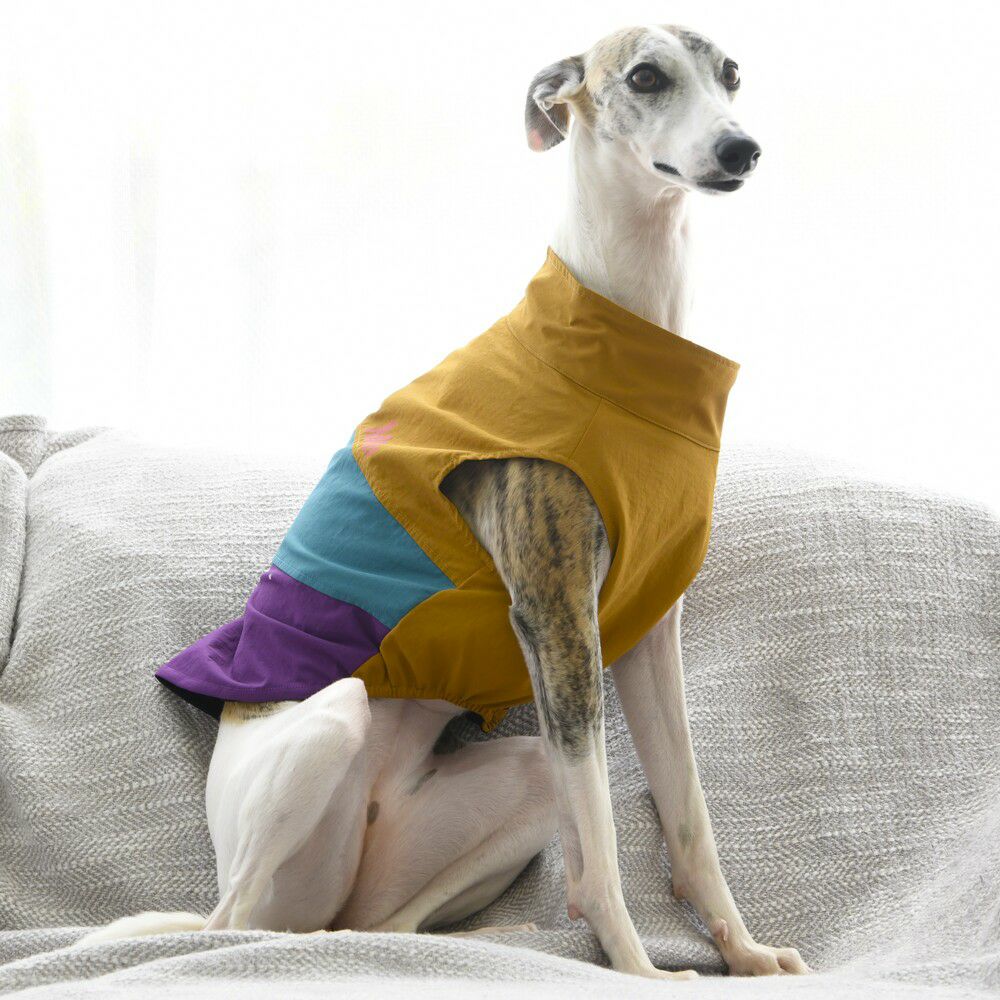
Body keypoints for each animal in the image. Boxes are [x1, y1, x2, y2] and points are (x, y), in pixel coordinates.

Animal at [78, 24, 808, 979]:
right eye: (647, 76)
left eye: (732, 76)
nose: (740, 150)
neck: (627, 331)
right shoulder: (555, 620)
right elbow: (606, 836)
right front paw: (640, 970)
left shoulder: (647, 634)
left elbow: (688, 816)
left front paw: (745, 953)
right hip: (330, 730)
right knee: (235, 925)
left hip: (507, 780)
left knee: (376, 923)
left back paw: (495, 936)